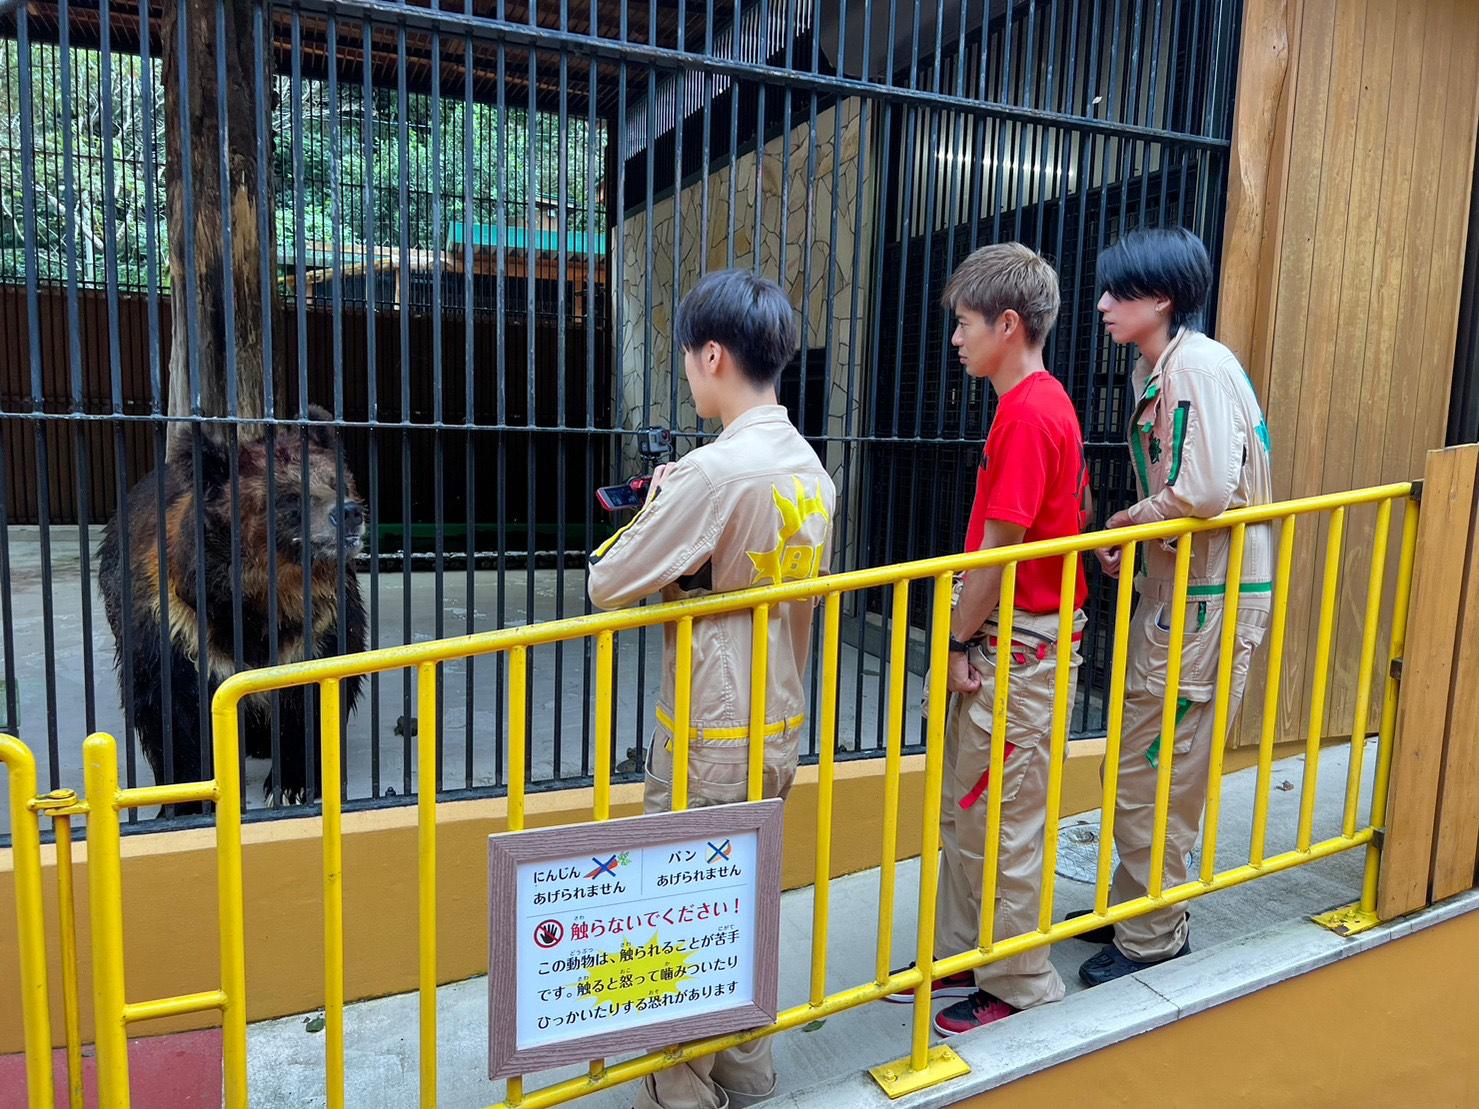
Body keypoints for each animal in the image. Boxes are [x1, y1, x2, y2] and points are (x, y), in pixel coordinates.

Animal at [97, 414, 366, 810]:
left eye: (338, 482)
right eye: (290, 497)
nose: (349, 513)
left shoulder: (318, 626)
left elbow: (311, 698)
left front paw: (293, 785)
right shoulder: (177, 626)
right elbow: (171, 710)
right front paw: (188, 799)